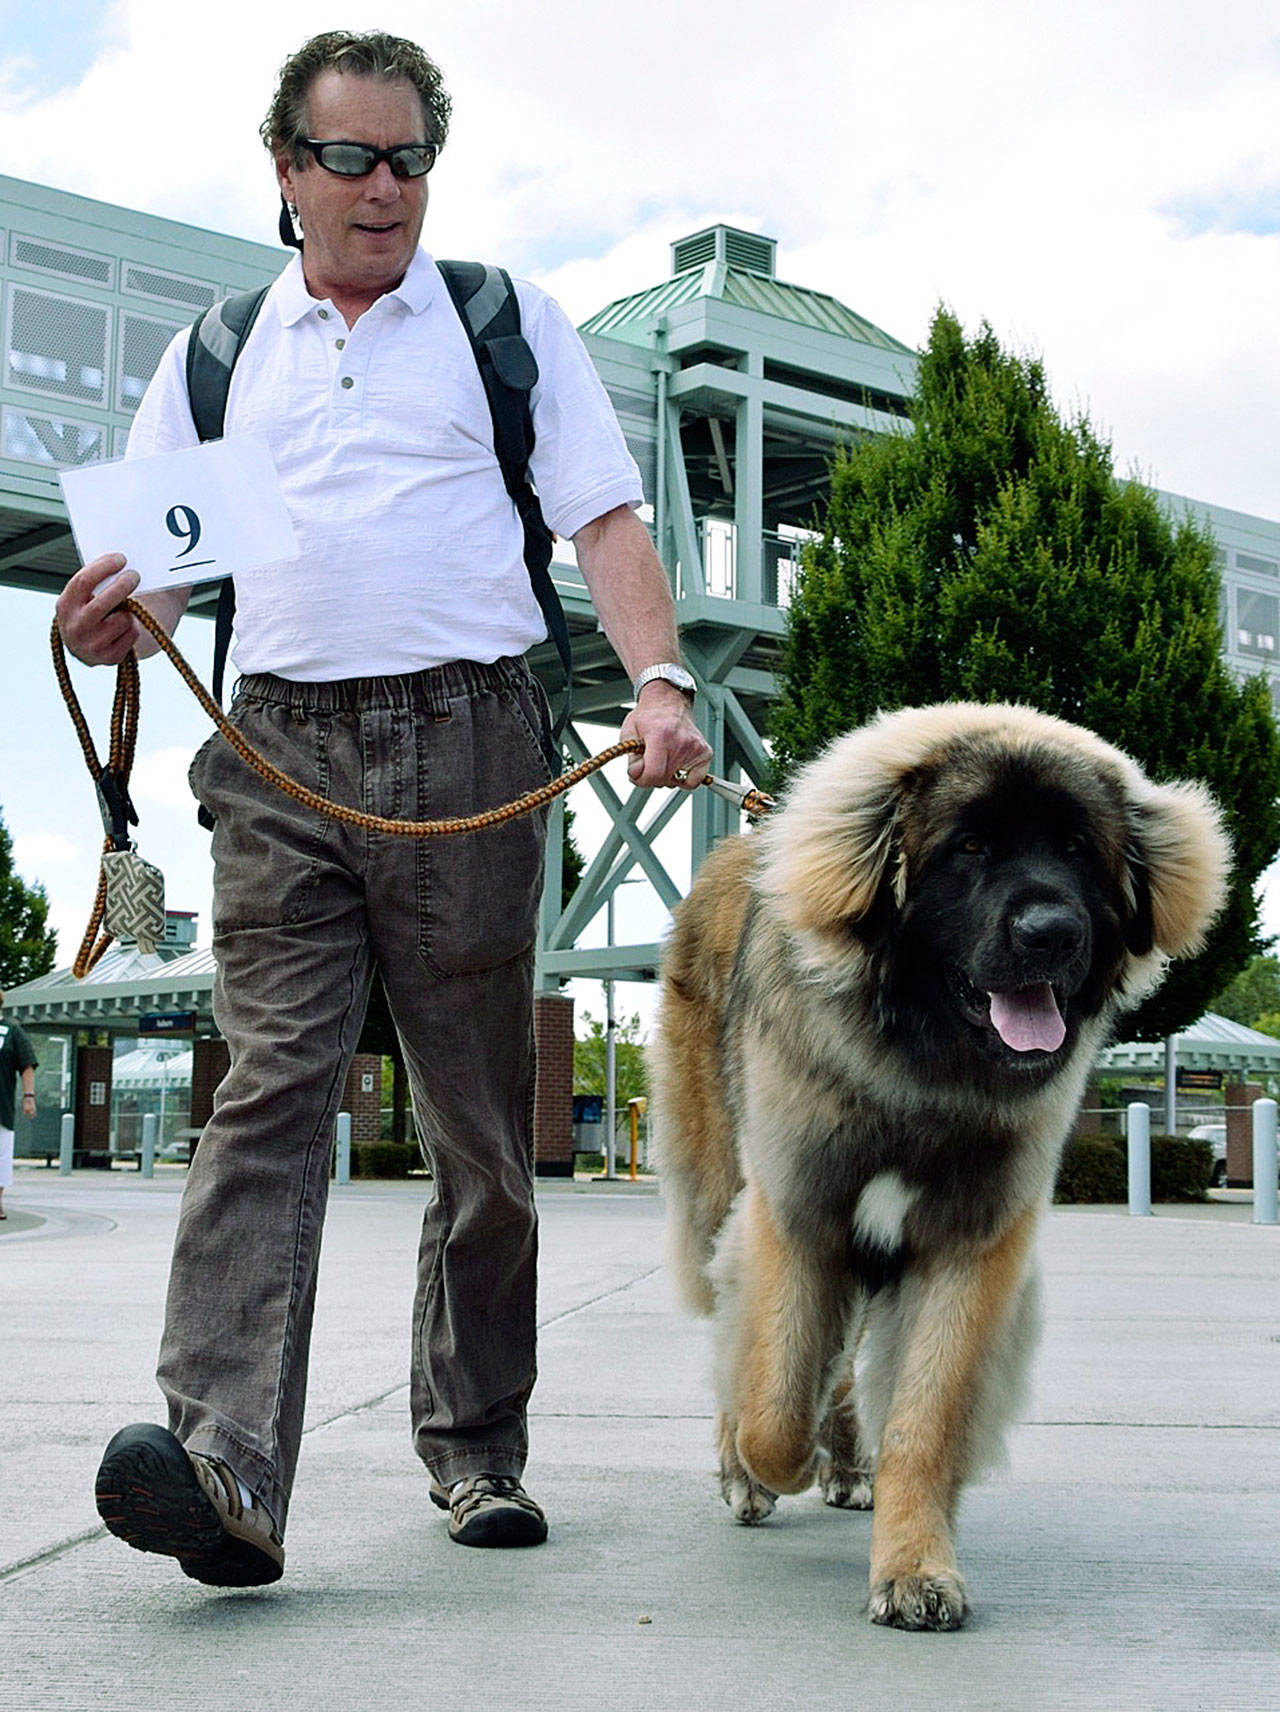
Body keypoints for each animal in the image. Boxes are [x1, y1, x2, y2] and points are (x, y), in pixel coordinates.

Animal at [653, 705, 1232, 1629]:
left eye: (1078, 850)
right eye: (970, 849)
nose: (1051, 933)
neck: (922, 1073)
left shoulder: (970, 1243)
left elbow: (923, 1425)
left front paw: (915, 1566)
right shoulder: (798, 1214)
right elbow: (774, 1403)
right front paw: (770, 1459)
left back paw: (849, 1464)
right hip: (716, 1190)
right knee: (746, 1346)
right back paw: (755, 1468)